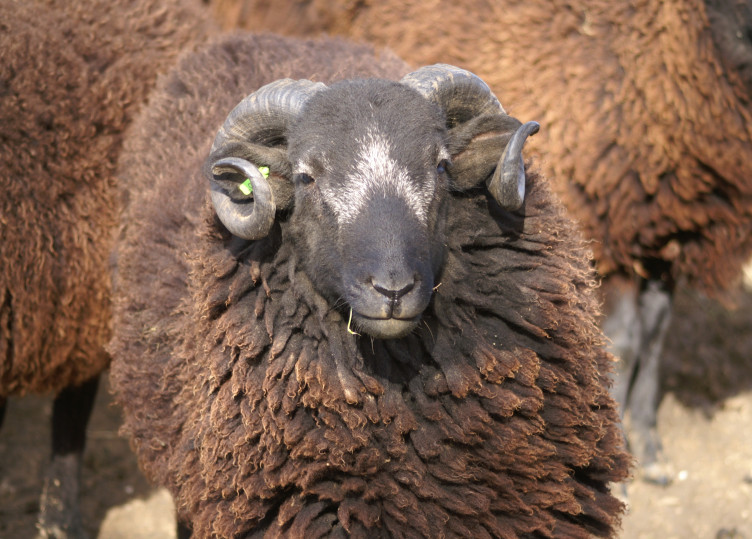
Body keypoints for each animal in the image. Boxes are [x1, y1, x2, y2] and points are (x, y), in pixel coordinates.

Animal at [207, 0, 752, 483]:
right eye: (305, 177)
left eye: (442, 165)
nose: (392, 290)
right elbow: (628, 337)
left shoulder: (665, 230)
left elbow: (655, 333)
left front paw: (651, 445)